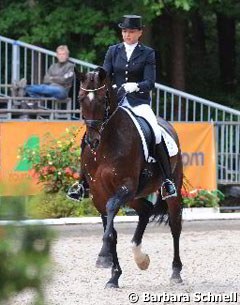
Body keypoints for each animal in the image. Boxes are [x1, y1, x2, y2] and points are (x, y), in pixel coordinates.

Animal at [78, 66, 183, 288]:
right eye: (81, 98)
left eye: (102, 99)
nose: (92, 141)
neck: (106, 145)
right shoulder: (98, 194)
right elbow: (111, 231)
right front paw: (113, 275)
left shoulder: (124, 186)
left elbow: (111, 215)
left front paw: (103, 257)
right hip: (135, 195)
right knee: (145, 210)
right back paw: (140, 257)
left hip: (170, 189)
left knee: (175, 225)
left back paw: (176, 272)